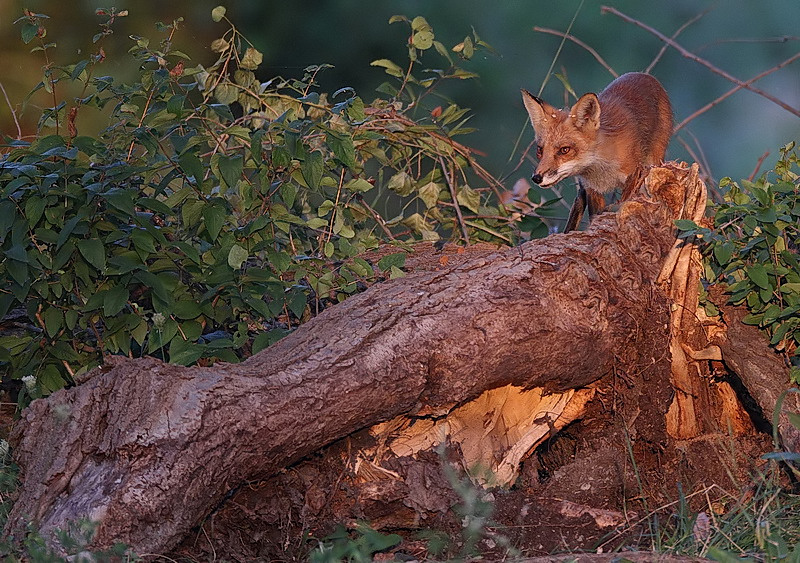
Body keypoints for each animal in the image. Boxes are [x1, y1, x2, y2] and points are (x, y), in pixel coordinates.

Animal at [520, 73, 672, 234]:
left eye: (564, 150)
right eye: (540, 150)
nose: (536, 178)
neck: (602, 169)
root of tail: (643, 75)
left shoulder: (632, 180)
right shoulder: (591, 189)